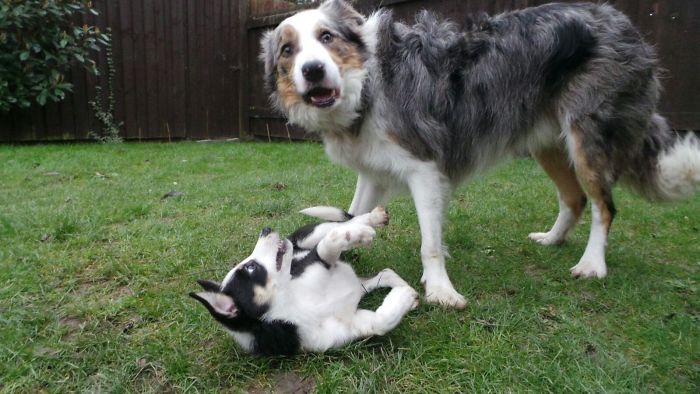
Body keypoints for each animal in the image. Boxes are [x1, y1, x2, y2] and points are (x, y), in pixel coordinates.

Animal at [189, 206, 418, 354]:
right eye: (250, 266)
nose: (266, 229)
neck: (294, 302)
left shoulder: (317, 260)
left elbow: (329, 243)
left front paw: (358, 234)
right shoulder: (348, 329)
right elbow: (382, 322)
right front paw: (404, 296)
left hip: (312, 236)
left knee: (340, 225)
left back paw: (370, 220)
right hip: (360, 285)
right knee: (385, 273)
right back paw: (407, 290)